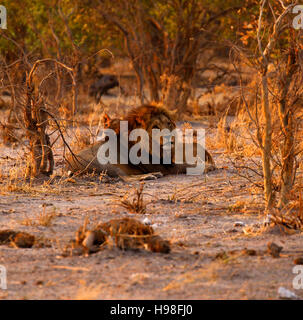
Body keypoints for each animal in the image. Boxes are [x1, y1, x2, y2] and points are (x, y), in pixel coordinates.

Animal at [67, 104, 216, 176]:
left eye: (168, 123)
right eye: (155, 127)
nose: (170, 137)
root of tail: (68, 165)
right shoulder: (165, 166)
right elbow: (187, 166)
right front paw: (207, 165)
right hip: (108, 162)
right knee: (124, 178)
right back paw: (151, 175)